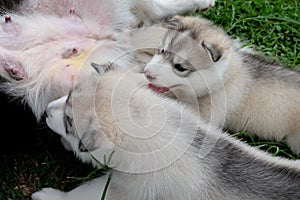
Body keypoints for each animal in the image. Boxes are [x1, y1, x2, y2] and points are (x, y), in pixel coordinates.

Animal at [32, 63, 300, 200]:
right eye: (68, 94)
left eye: (69, 122)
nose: (45, 112)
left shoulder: (124, 188)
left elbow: (85, 193)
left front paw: (50, 196)